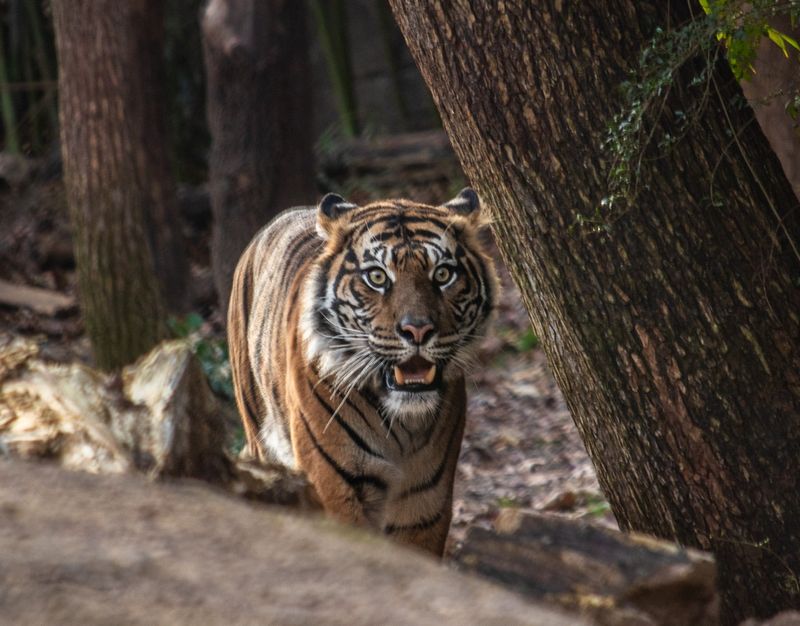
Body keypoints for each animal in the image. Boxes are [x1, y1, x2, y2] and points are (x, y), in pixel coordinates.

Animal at [228, 188, 496, 552]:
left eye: (442, 274)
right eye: (377, 277)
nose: (418, 331)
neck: (401, 425)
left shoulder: (425, 499)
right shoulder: (335, 487)